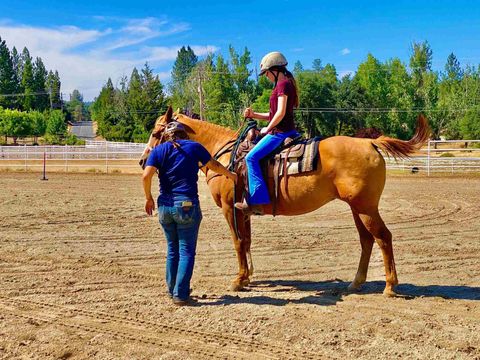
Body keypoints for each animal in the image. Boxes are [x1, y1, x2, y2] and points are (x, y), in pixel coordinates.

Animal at [142, 105, 432, 296]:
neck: (223, 155)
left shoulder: (229, 208)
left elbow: (237, 242)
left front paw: (238, 280)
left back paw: (390, 286)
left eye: (156, 133)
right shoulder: (243, 210)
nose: (143, 161)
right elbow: (247, 241)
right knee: (367, 240)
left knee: (383, 237)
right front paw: (248, 277)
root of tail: (370, 143)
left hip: (366, 208)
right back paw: (356, 282)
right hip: (357, 208)